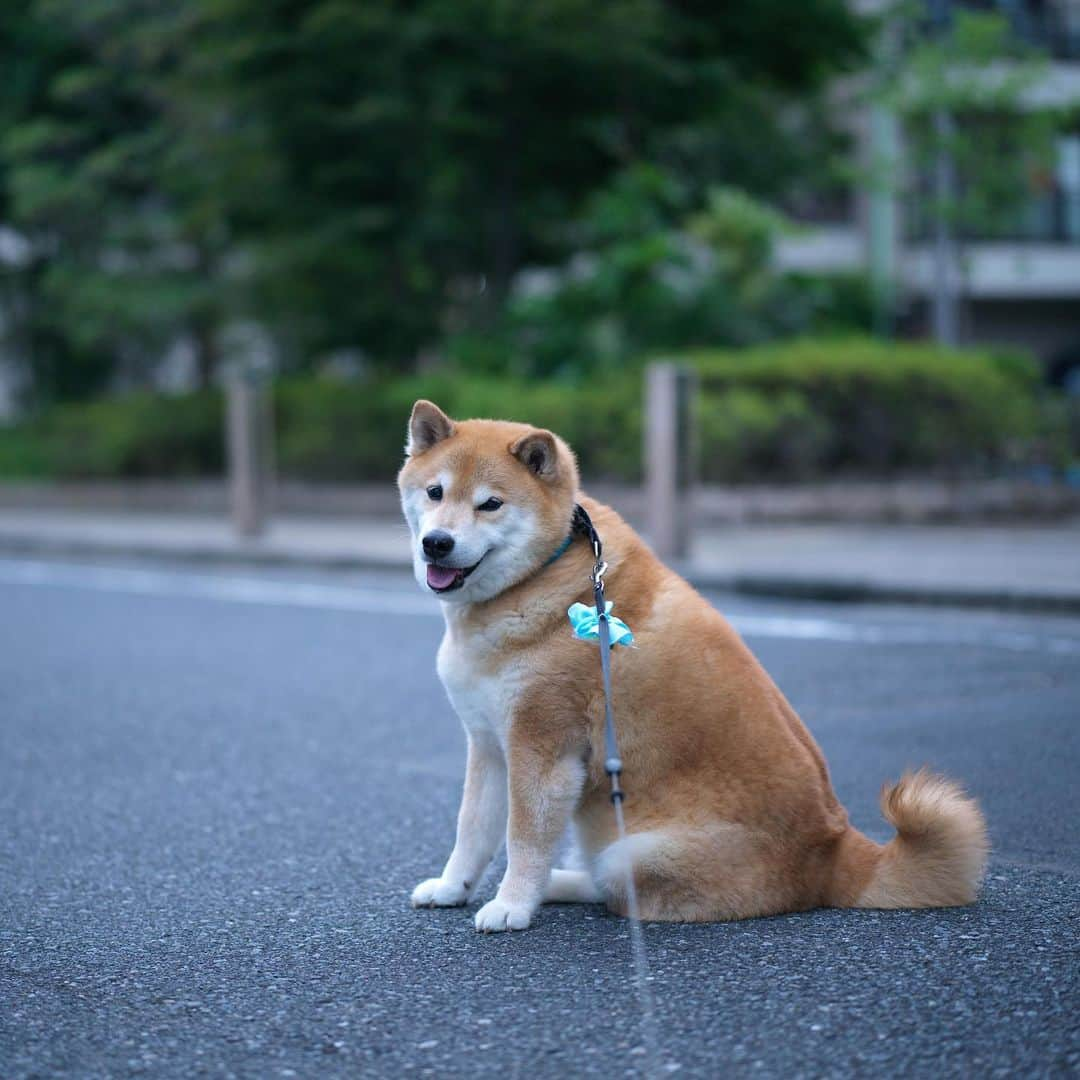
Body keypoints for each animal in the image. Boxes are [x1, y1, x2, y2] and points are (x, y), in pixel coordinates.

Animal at [397, 401, 989, 933]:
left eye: (491, 504)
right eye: (435, 493)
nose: (437, 542)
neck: (541, 575)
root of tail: (837, 851)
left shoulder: (542, 748)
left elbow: (522, 837)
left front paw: (513, 905)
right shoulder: (490, 744)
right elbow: (472, 830)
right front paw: (453, 888)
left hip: (637, 850)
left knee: (617, 887)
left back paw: (554, 887)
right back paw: (560, 882)